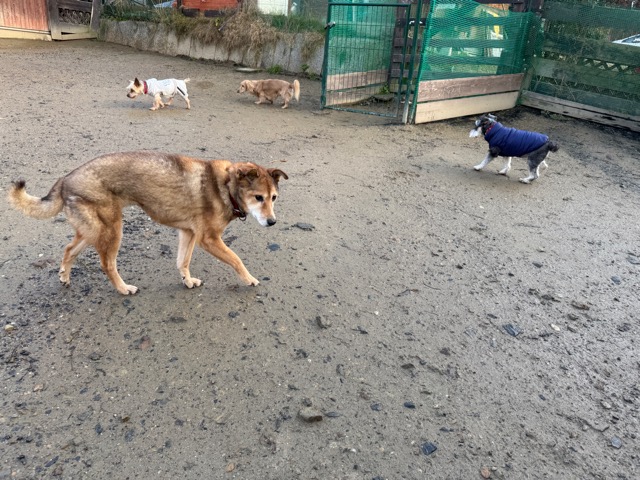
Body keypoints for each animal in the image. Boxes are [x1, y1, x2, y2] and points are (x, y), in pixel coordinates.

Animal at [8, 151, 288, 295]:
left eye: (273, 198)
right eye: (259, 198)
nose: (272, 222)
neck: (226, 187)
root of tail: (65, 178)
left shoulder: (188, 233)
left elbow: (183, 262)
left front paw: (187, 281)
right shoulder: (209, 239)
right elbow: (236, 259)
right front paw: (249, 279)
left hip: (92, 230)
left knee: (69, 250)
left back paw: (65, 276)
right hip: (112, 230)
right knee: (107, 264)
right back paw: (123, 288)